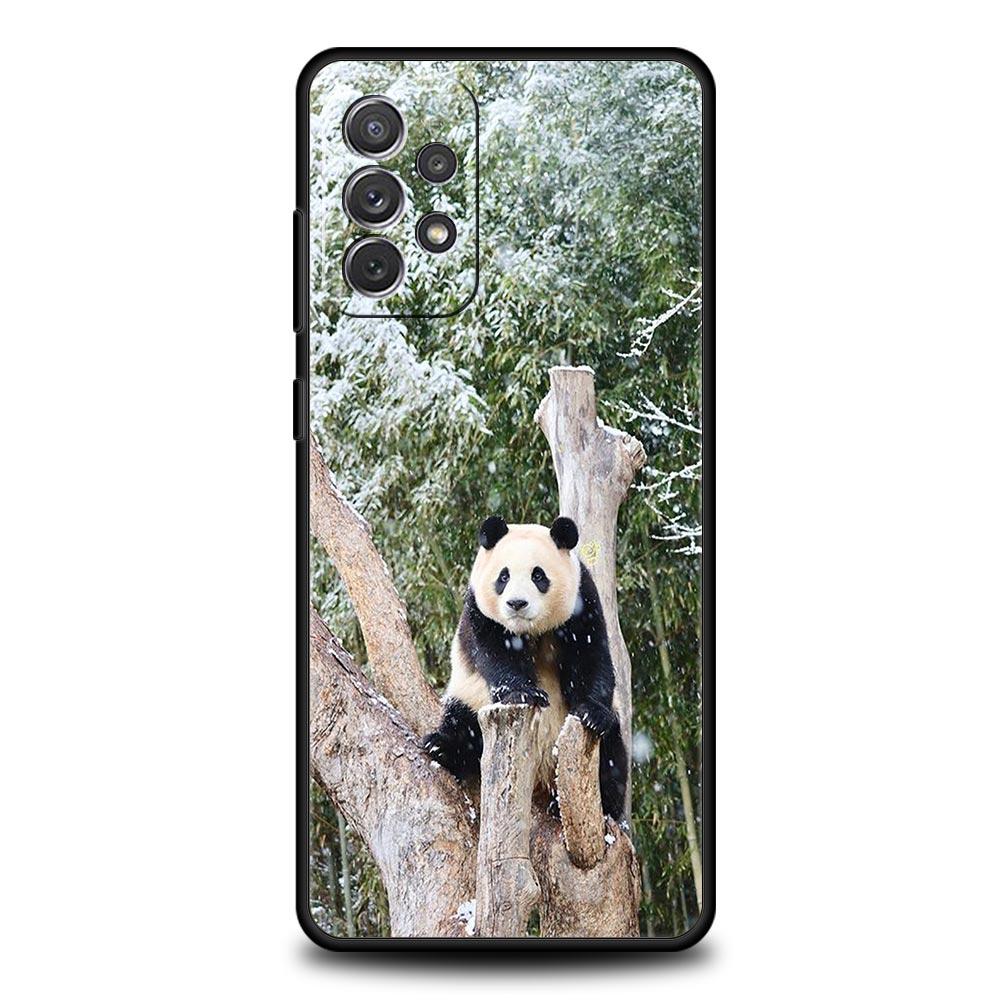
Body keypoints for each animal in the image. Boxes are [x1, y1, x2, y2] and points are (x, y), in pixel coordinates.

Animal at [422, 514, 628, 821]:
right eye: (503, 576)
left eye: (538, 576)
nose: (516, 603)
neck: (530, 631)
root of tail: (541, 777)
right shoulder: (480, 613)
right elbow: (495, 654)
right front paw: (524, 693)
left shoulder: (583, 602)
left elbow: (591, 658)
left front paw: (591, 713)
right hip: (471, 698)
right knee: (462, 723)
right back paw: (440, 747)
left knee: (613, 753)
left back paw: (592, 805)